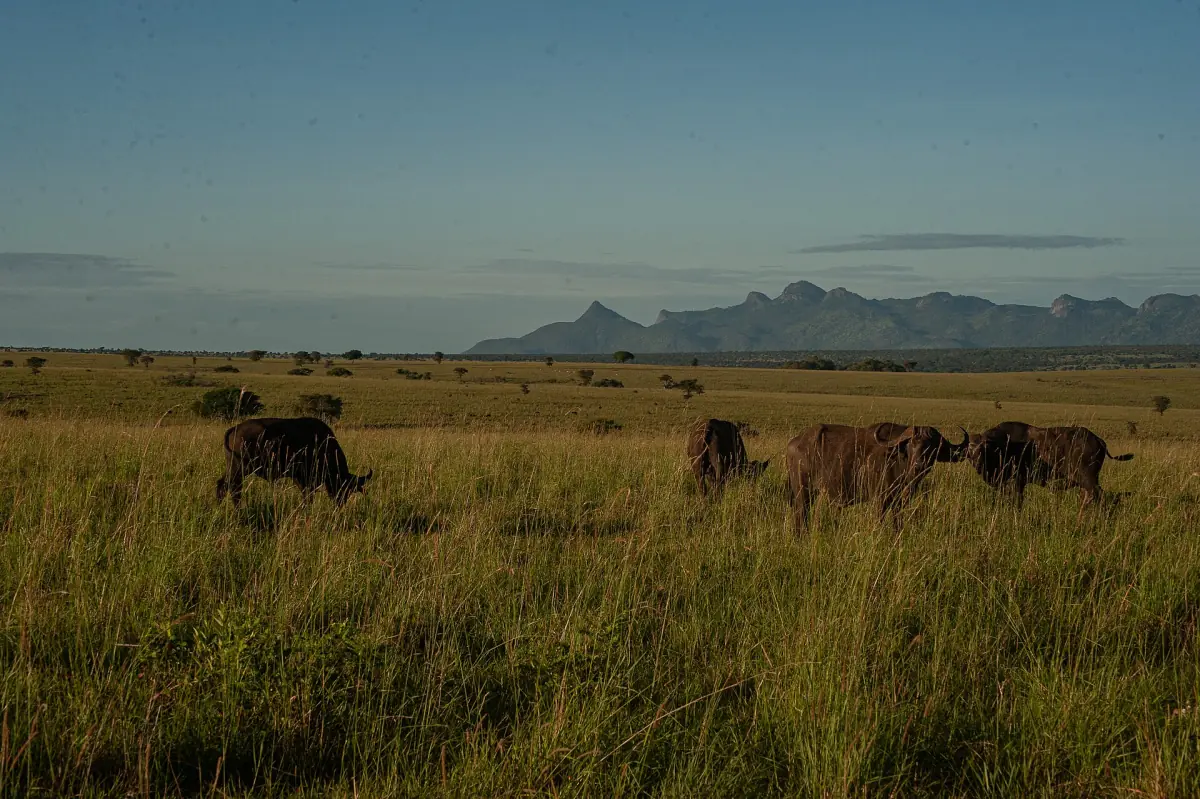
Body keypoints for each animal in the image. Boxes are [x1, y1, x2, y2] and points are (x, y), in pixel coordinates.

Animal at [216, 417, 373, 506]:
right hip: (239, 470)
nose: (340, 503)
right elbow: (307, 498)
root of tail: (235, 429)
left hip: (233, 469)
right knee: (232, 489)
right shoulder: (306, 481)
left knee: (223, 485)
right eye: (344, 486)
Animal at [785, 422, 967, 532]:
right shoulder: (880, 500)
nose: (919, 465)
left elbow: (897, 523)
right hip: (803, 493)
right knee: (801, 515)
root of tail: (794, 443)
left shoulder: (899, 502)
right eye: (911, 444)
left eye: (932, 446)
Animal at [965, 421, 1133, 515]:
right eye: (969, 451)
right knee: (1090, 497)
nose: (977, 463)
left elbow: (1017, 503)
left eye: (983, 448)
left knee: (1101, 497)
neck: (1004, 445)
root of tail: (1098, 441)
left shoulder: (1017, 483)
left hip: (1088, 479)